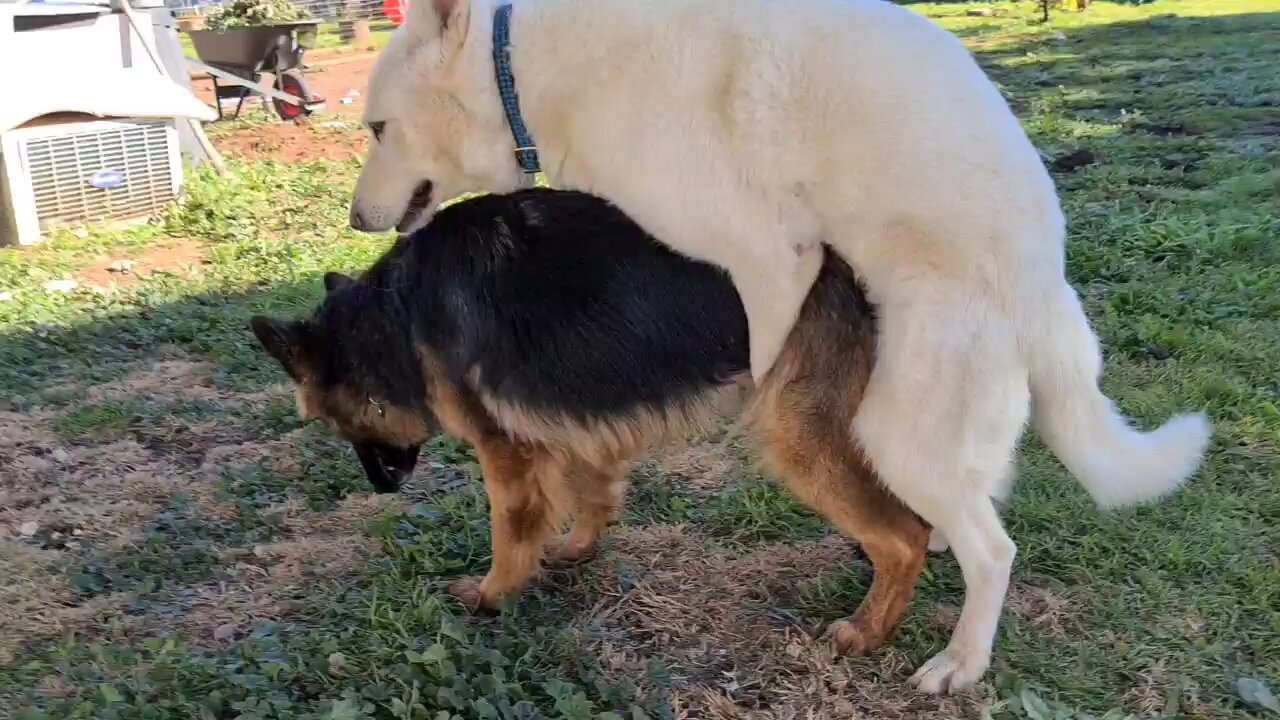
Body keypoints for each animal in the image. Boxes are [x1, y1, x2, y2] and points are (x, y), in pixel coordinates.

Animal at [350, 0, 1208, 691]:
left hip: (895, 429)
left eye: (377, 127)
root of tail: (1047, 291)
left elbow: (761, 329)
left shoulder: (769, 256)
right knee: (969, 507)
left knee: (992, 550)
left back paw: (959, 661)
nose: (356, 220)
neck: (529, 67)